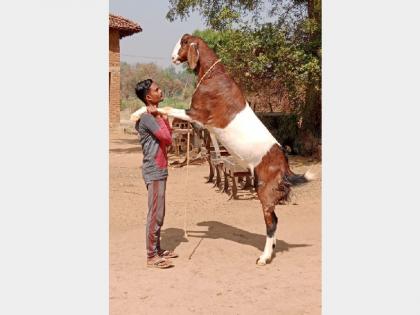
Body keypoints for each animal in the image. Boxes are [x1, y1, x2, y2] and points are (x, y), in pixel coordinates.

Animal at [132, 34, 316, 266]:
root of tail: (284, 165)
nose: (173, 57)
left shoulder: (197, 114)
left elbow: (164, 108)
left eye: (183, 42)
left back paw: (264, 257)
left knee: (271, 221)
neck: (213, 77)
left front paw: (136, 114)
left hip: (265, 189)